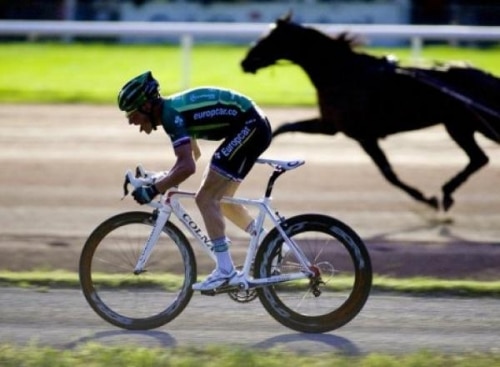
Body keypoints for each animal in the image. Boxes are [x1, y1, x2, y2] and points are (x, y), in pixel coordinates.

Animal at [240, 13, 498, 213]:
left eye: (269, 38)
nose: (245, 62)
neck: (343, 73)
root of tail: (485, 76)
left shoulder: (363, 135)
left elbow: (388, 173)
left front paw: (426, 199)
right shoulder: (331, 125)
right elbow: (285, 126)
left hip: (468, 125)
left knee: (479, 157)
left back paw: (444, 193)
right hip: (460, 126)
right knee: (479, 158)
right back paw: (447, 192)